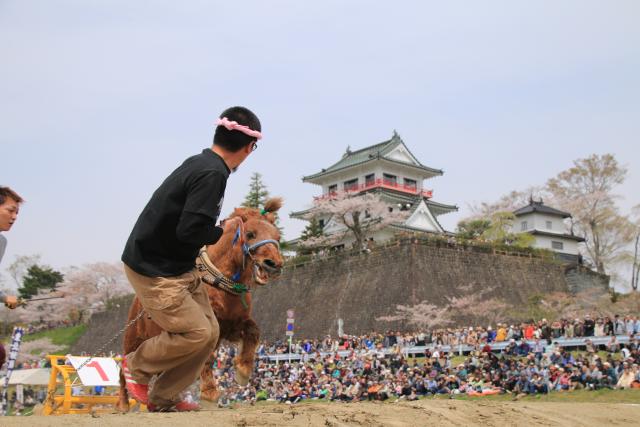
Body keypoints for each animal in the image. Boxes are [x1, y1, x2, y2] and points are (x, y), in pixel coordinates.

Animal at [115, 198, 284, 412]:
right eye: (250, 234)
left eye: (277, 236)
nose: (274, 264)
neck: (219, 283)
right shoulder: (213, 326)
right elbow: (208, 357)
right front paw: (209, 393)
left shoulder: (233, 324)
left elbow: (253, 332)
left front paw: (243, 370)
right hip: (133, 339)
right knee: (125, 368)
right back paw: (124, 401)